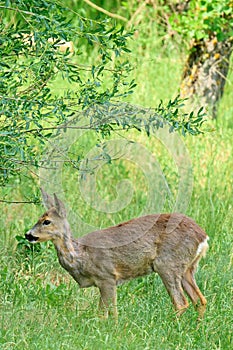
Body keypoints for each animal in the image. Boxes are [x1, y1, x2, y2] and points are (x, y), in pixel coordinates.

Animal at [25, 189, 209, 320]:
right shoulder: (101, 282)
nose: (28, 234)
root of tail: (203, 236)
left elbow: (110, 312)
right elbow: (102, 312)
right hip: (188, 268)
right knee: (200, 300)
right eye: (38, 218)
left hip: (167, 264)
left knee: (181, 303)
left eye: (46, 221)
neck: (81, 256)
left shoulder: (107, 276)